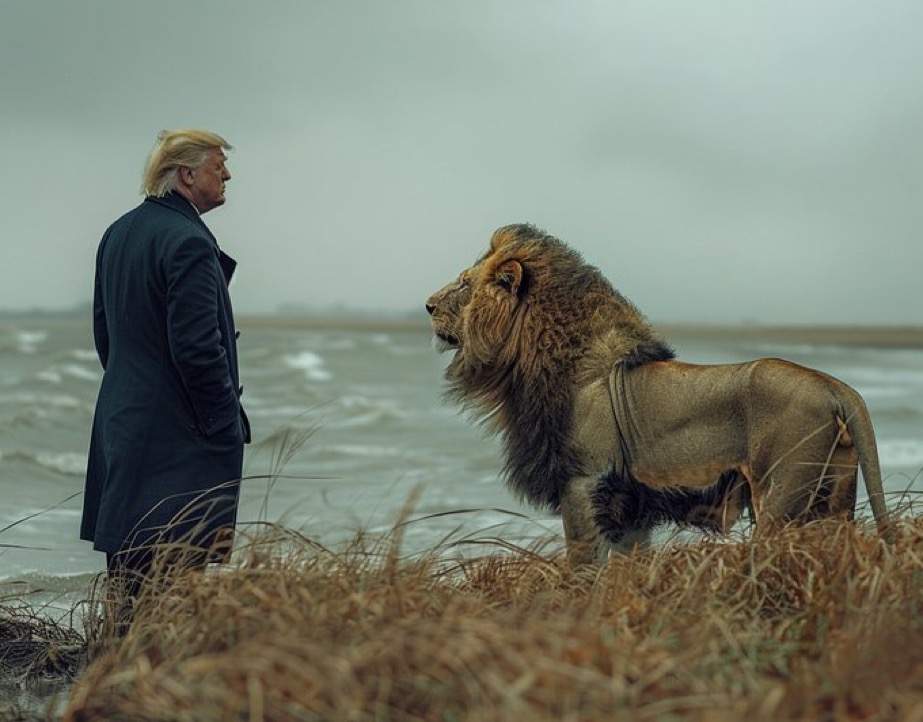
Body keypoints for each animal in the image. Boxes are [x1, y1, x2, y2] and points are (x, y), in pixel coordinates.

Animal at [426, 223, 891, 564]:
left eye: (464, 284)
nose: (427, 305)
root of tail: (835, 386)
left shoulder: (583, 483)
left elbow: (581, 566)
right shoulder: (628, 509)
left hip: (780, 499)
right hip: (835, 497)